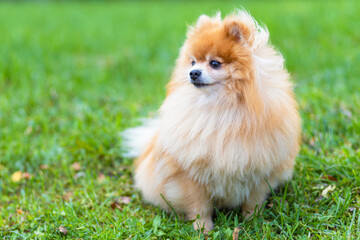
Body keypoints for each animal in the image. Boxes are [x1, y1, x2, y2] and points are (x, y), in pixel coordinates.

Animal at [124, 9, 300, 232]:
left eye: (214, 63)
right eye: (193, 62)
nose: (193, 73)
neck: (221, 108)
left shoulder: (258, 171)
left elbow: (253, 201)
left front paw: (253, 221)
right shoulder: (191, 175)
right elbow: (199, 205)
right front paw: (203, 228)